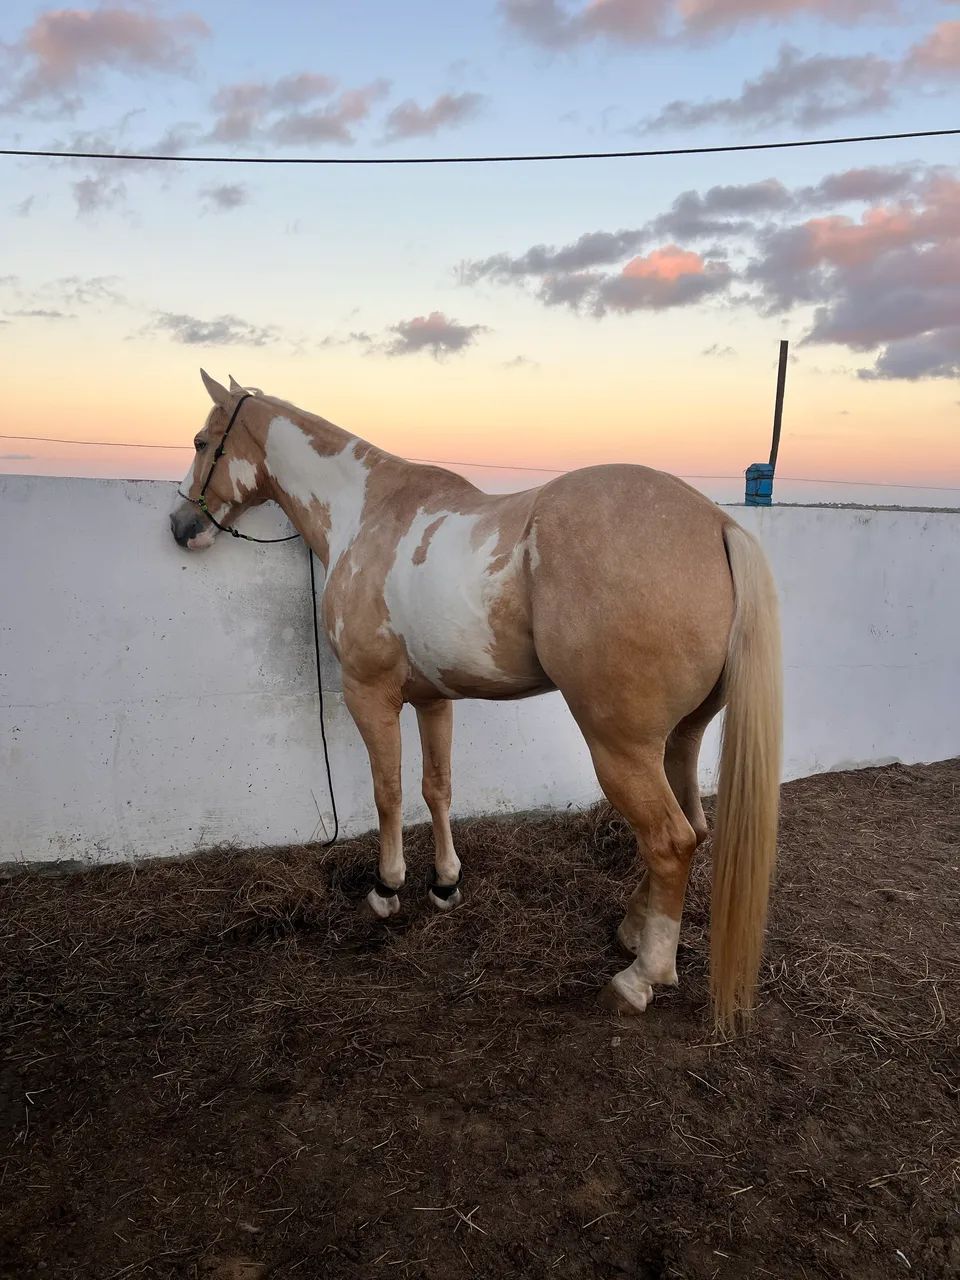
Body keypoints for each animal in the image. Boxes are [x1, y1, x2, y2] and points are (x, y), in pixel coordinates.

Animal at [170, 369, 782, 1027]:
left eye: (202, 442)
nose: (181, 526)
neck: (367, 513)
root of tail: (716, 525)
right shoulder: (432, 700)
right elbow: (436, 788)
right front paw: (444, 884)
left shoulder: (369, 695)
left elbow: (388, 792)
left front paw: (387, 889)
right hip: (681, 739)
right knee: (694, 828)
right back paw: (631, 932)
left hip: (621, 748)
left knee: (670, 841)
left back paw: (640, 977)